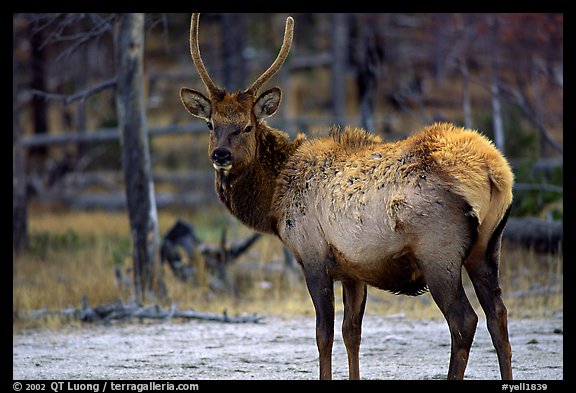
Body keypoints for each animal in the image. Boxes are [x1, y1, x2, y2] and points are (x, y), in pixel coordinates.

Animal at [179, 13, 512, 378]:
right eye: (210, 124)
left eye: (248, 126)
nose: (221, 155)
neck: (273, 201)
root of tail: (495, 172)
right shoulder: (354, 270)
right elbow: (352, 332)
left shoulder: (312, 255)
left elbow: (323, 333)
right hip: (488, 248)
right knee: (498, 316)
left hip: (439, 254)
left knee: (464, 321)